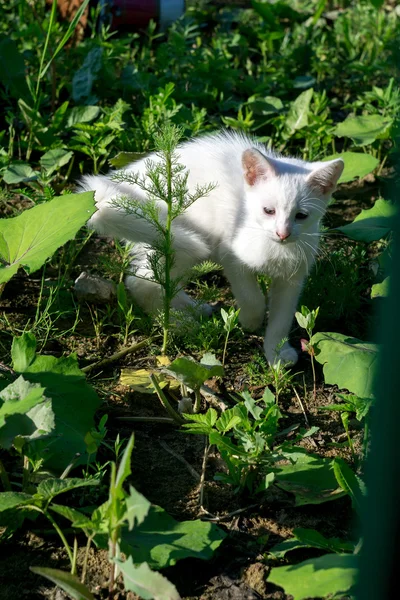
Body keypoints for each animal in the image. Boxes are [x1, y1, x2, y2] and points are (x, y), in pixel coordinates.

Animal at [79, 132, 344, 366]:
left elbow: (282, 317)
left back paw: (193, 309)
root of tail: (124, 177)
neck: (272, 247)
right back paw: (179, 324)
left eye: (301, 216)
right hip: (183, 242)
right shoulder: (232, 256)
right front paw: (250, 321)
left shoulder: (292, 277)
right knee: (142, 282)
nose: (283, 233)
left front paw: (277, 353)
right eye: (268, 211)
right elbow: (252, 298)